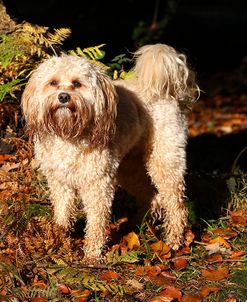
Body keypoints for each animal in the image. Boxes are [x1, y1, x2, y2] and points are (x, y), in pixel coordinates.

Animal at [20, 43, 199, 264]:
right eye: (53, 82)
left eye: (77, 83)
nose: (63, 96)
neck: (69, 133)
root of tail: (167, 92)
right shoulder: (59, 182)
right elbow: (62, 212)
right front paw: (59, 238)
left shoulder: (97, 184)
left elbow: (96, 221)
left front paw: (92, 254)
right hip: (129, 169)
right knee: (151, 195)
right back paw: (137, 223)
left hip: (164, 160)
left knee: (176, 203)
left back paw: (175, 239)